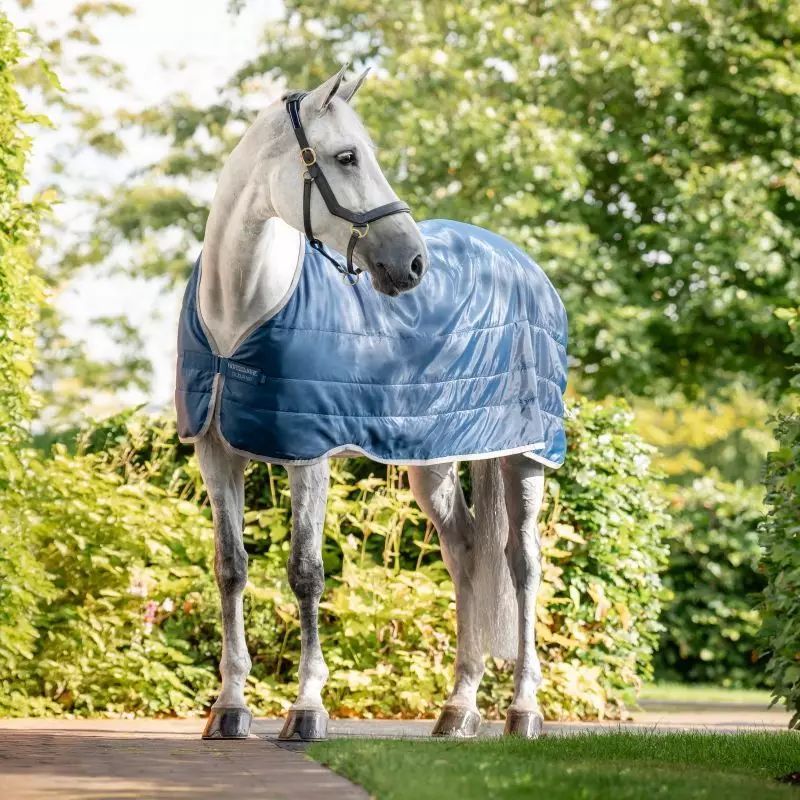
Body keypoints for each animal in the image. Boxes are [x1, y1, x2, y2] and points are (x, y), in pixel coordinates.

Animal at [176, 67, 567, 742]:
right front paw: (229, 707)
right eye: (347, 157)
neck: (240, 313)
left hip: (525, 455)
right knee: (466, 552)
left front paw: (307, 710)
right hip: (433, 461)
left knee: (522, 564)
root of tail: (522, 263)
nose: (411, 264)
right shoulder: (215, 452)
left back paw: (524, 711)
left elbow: (305, 572)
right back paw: (457, 710)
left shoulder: (308, 456)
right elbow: (231, 568)